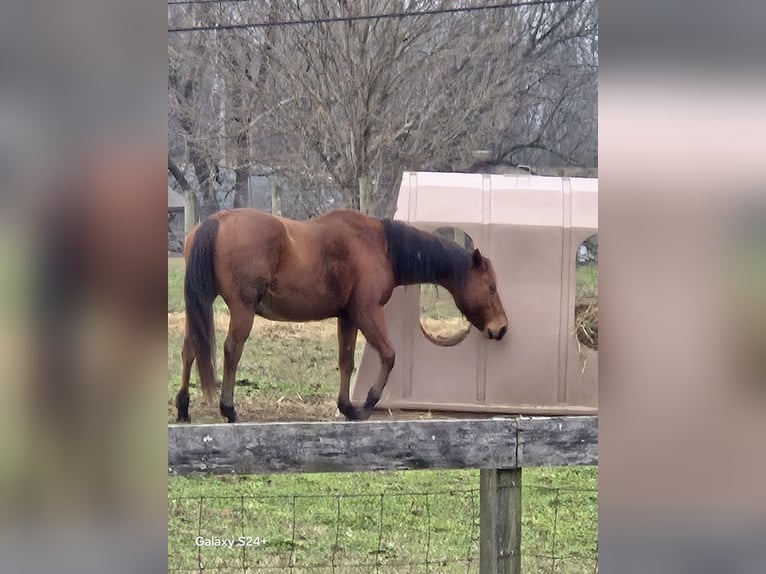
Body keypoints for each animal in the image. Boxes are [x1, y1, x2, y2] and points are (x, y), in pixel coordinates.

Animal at [176, 208, 508, 423]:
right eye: (491, 287)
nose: (501, 328)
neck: (379, 246)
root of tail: (215, 222)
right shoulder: (367, 312)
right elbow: (389, 355)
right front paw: (367, 403)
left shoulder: (347, 317)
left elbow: (346, 361)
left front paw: (346, 406)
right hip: (242, 311)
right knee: (231, 351)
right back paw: (228, 408)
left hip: (199, 306)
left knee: (190, 349)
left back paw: (183, 407)